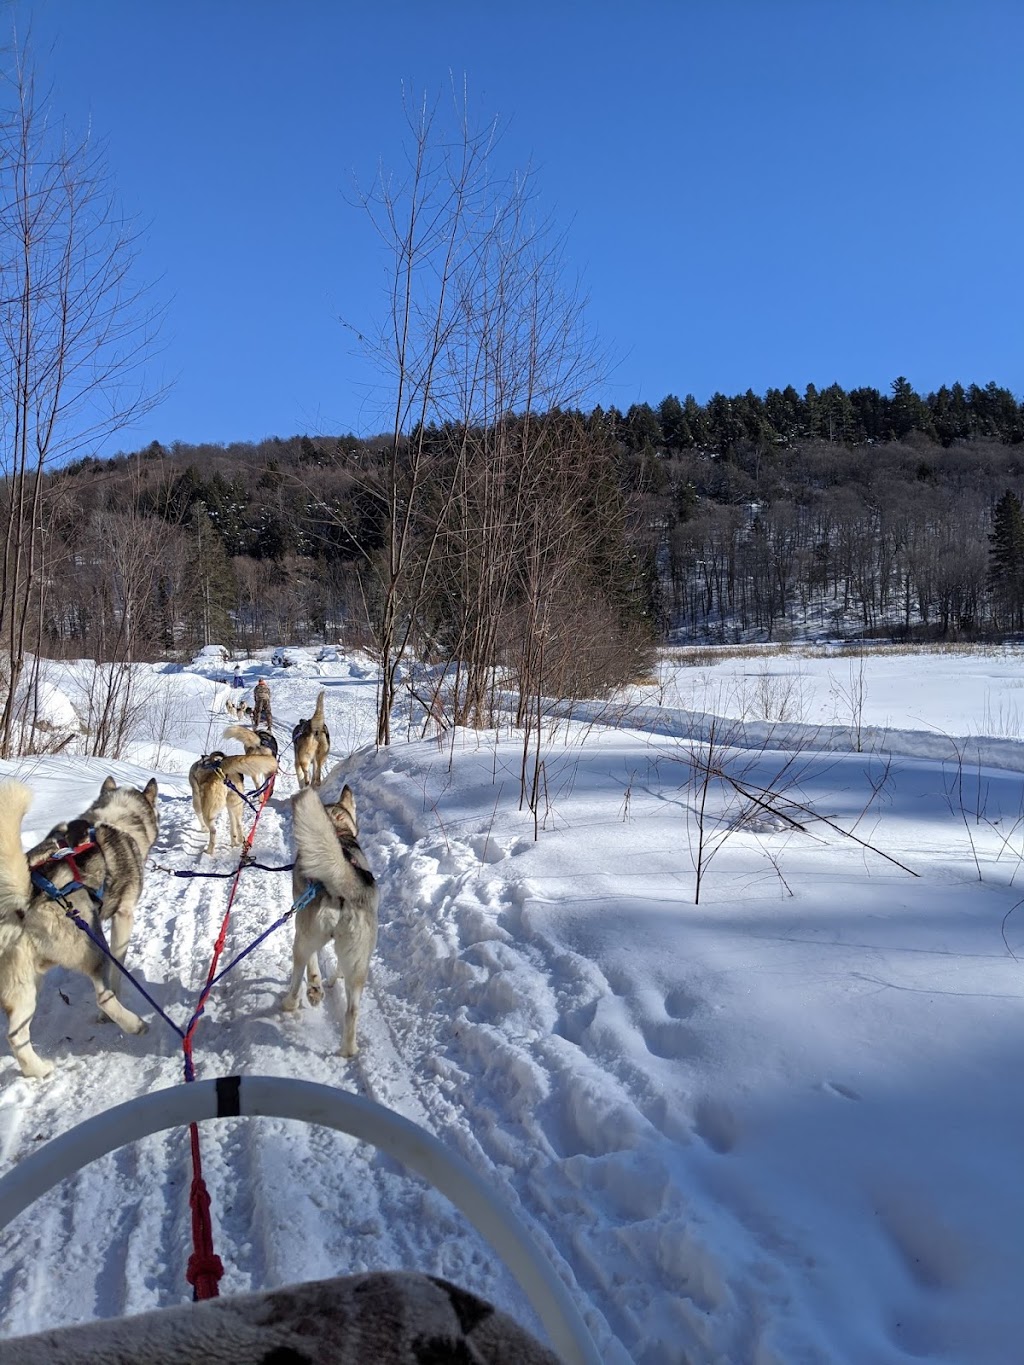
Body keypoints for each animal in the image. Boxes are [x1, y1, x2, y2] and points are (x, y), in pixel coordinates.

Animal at [0, 780, 158, 1075]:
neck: (116, 820)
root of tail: (27, 897)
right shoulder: (123, 916)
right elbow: (119, 969)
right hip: (94, 946)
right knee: (103, 997)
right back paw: (134, 1024)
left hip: (23, 986)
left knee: (15, 1035)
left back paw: (39, 1070)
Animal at [285, 786, 382, 1059]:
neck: (339, 831)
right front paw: (329, 982)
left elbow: (314, 966)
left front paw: (316, 986)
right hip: (359, 963)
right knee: (352, 1011)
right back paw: (348, 1050)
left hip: (302, 940)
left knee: (298, 976)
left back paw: (292, 1002)